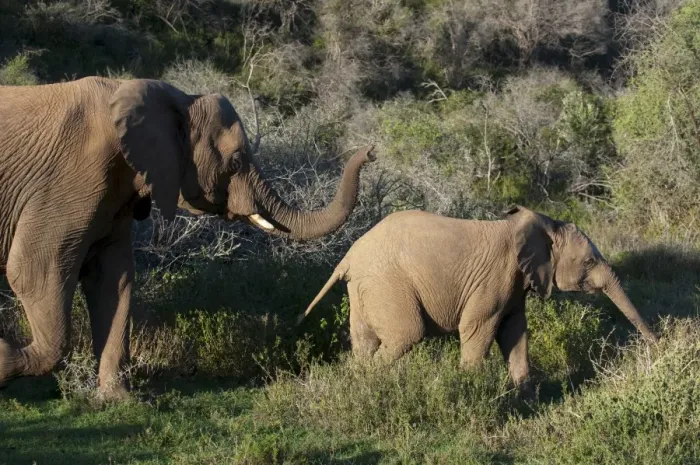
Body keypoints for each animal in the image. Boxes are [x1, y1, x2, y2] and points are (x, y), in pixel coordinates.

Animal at [0, 76, 376, 399]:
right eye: (235, 162)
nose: (370, 151)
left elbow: (114, 279)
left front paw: (120, 401)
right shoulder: (69, 180)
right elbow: (33, 271)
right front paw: (2, 357)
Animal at [299, 206, 657, 390]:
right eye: (589, 262)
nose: (658, 345)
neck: (540, 224)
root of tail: (348, 257)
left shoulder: (514, 284)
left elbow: (515, 333)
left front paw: (525, 395)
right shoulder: (495, 279)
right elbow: (478, 330)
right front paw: (471, 390)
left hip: (365, 289)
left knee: (364, 343)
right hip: (387, 284)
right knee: (406, 335)